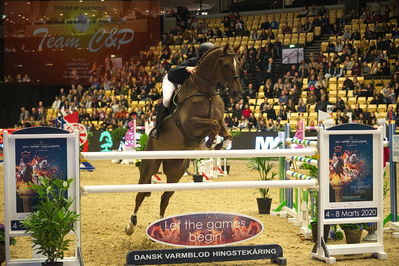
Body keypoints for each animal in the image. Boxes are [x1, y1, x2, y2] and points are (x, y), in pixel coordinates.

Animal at [126, 42, 244, 235]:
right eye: (227, 65)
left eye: (239, 64)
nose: (237, 93)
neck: (206, 92)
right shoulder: (190, 124)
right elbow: (213, 125)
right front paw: (208, 143)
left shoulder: (220, 118)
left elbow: (224, 131)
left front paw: (219, 144)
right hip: (150, 165)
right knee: (140, 193)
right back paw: (131, 224)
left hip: (176, 171)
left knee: (165, 197)